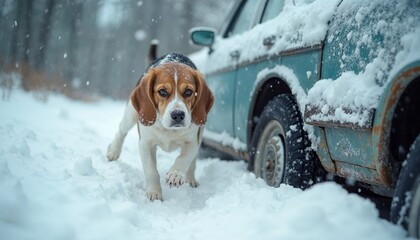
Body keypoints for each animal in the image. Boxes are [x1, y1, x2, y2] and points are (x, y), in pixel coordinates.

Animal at [106, 52, 215, 201]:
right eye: (162, 91)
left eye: (188, 92)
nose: (178, 115)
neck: (169, 129)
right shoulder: (146, 143)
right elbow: (151, 170)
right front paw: (154, 193)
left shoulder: (193, 141)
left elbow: (184, 158)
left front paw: (176, 174)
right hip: (131, 114)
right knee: (121, 131)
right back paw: (113, 151)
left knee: (192, 161)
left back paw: (190, 178)